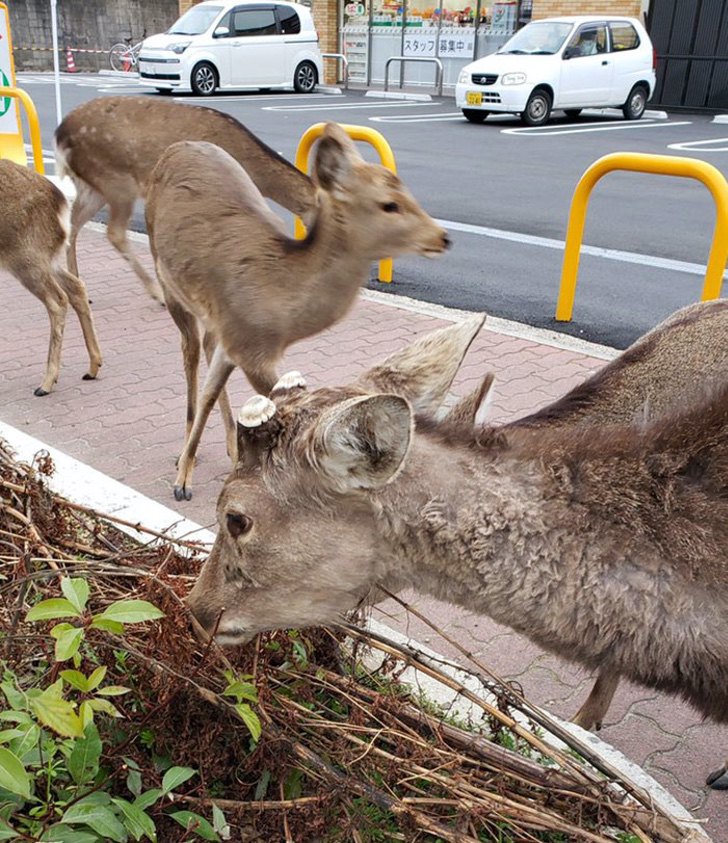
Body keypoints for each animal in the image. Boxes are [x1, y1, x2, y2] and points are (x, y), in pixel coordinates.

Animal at [0, 161, 103, 396]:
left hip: (26, 256)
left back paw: (46, 383)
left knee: (58, 300)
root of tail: (61, 203)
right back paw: (93, 366)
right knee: (76, 287)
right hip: (46, 256)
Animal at [55, 95, 318, 304]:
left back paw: (78, 287)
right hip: (116, 181)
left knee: (73, 223)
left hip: (93, 187)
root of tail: (60, 134)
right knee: (114, 232)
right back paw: (156, 293)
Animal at [146, 125, 452, 502]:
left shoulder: (237, 339)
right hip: (165, 274)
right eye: (389, 204)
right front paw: (182, 482)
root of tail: (175, 148)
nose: (443, 237)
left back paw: (226, 447)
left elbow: (212, 391)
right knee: (188, 350)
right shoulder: (250, 348)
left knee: (204, 350)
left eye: (406, 189)